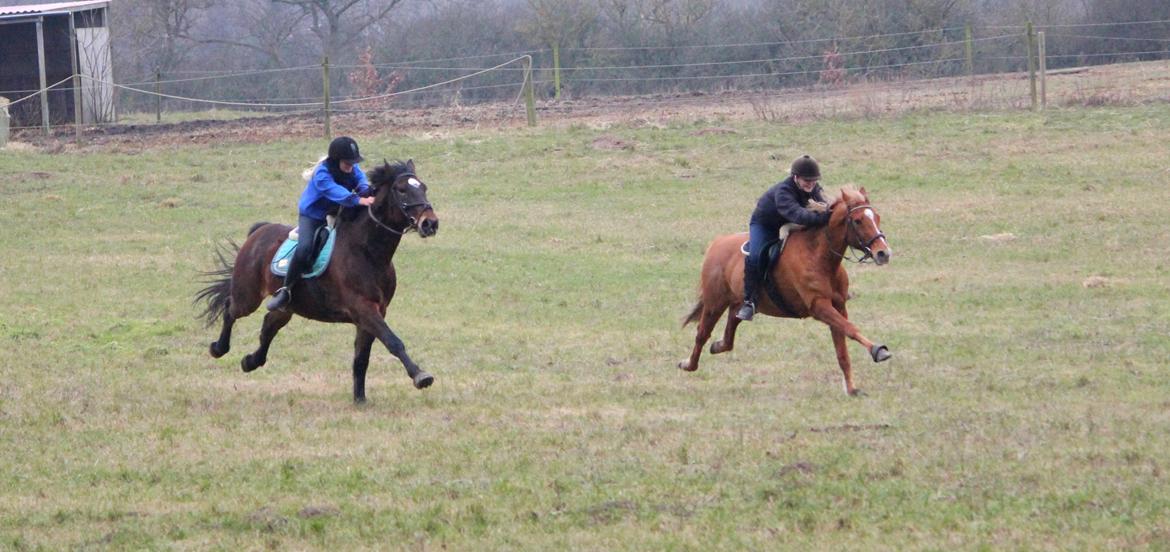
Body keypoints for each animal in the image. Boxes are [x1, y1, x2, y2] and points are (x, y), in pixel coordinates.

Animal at [196, 159, 439, 399]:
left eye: (424, 187)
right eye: (401, 190)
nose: (430, 223)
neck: (368, 251)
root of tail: (258, 231)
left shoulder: (376, 311)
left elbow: (362, 358)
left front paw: (359, 399)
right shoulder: (363, 308)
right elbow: (393, 341)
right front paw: (421, 376)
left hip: (287, 307)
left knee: (268, 326)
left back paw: (250, 362)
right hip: (248, 296)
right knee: (230, 309)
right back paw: (218, 348)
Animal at [678, 187, 893, 395]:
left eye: (877, 217)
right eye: (857, 221)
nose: (883, 253)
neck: (819, 256)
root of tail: (716, 243)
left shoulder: (838, 306)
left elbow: (842, 350)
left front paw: (851, 388)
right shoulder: (819, 307)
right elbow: (851, 329)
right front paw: (878, 350)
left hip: (739, 303)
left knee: (730, 330)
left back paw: (717, 346)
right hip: (715, 301)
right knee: (702, 333)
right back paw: (688, 364)